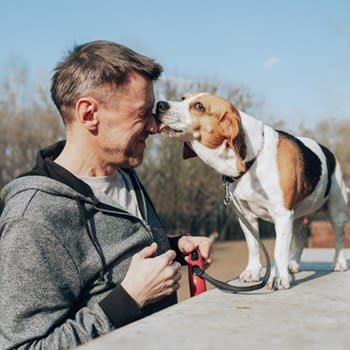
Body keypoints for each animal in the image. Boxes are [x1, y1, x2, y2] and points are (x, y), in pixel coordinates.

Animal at [157, 93, 348, 290]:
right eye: (182, 98)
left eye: (199, 106)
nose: (159, 105)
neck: (254, 159)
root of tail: (329, 152)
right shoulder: (246, 216)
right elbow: (253, 246)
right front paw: (253, 272)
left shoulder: (282, 214)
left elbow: (279, 250)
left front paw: (278, 277)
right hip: (297, 216)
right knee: (301, 238)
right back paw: (293, 263)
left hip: (336, 211)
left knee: (340, 237)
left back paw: (339, 263)